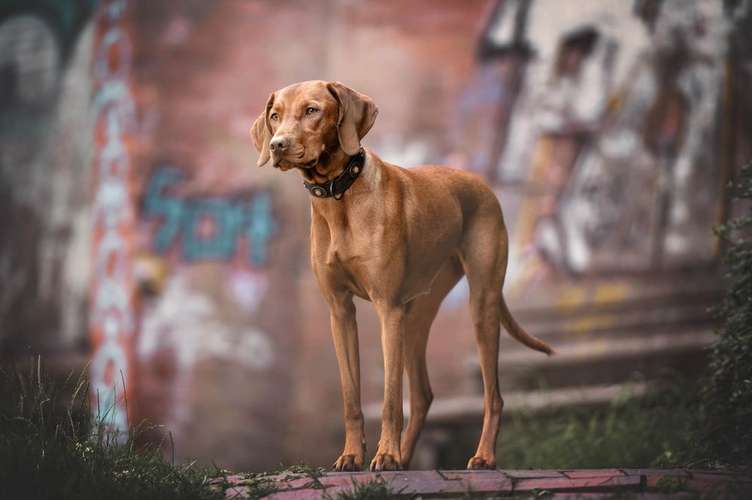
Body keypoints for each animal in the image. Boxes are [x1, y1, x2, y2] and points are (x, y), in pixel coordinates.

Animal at [253, 80, 552, 470]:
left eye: (312, 110)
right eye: (275, 116)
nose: (278, 145)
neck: (340, 197)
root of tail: (480, 182)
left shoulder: (387, 309)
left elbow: (391, 397)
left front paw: (386, 454)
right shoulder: (340, 311)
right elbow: (351, 397)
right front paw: (352, 455)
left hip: (480, 305)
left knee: (494, 395)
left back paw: (482, 456)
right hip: (416, 316)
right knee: (423, 394)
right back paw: (408, 456)